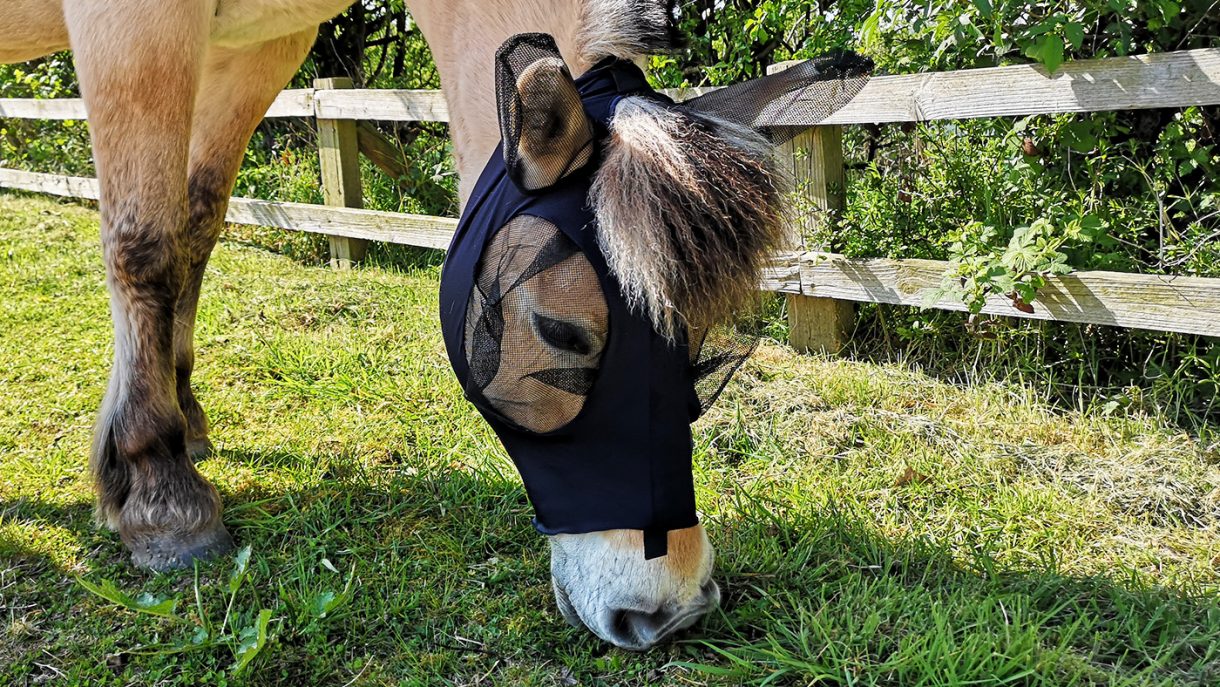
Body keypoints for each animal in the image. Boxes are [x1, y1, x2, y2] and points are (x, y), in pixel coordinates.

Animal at [1, 0, 805, 649]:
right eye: (558, 332)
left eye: (697, 346)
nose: (672, 607)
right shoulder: (133, 24)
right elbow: (146, 244)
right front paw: (158, 491)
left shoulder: (258, 44)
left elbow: (198, 221)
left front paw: (185, 418)